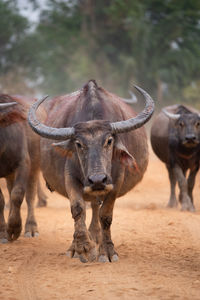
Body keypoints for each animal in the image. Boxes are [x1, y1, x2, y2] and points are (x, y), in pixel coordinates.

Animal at [0, 95, 44, 243]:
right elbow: (1, 200)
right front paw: (3, 232)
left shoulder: (23, 164)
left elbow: (18, 194)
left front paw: (14, 228)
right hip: (9, 174)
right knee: (9, 190)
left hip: (35, 166)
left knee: (30, 196)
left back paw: (31, 228)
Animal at [28, 79, 154, 262]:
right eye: (79, 144)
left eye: (109, 141)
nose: (97, 180)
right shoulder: (70, 178)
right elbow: (78, 209)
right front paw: (82, 248)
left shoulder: (115, 181)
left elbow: (105, 215)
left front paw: (107, 251)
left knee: (96, 208)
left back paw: (96, 236)